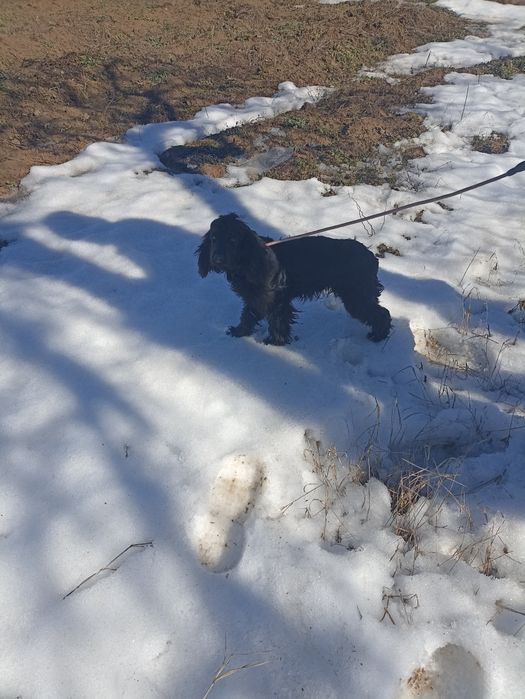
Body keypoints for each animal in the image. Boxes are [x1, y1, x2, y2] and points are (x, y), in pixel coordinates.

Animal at [196, 213, 391, 346]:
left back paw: (378, 336)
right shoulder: (256, 298)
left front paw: (274, 342)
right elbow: (248, 315)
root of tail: (371, 257)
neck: (250, 259)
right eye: (213, 238)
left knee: (382, 313)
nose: (217, 259)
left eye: (233, 240)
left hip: (356, 297)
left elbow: (277, 321)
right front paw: (239, 332)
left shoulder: (276, 299)